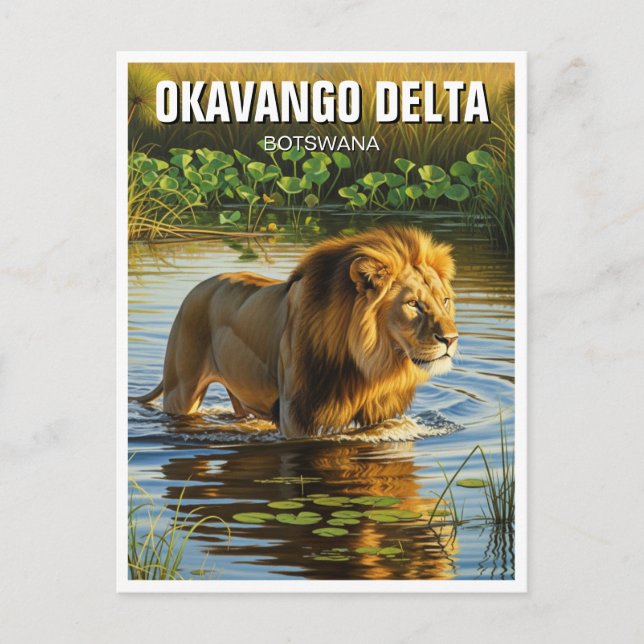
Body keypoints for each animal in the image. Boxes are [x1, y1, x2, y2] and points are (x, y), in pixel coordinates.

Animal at [129, 226, 458, 438]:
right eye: (413, 304)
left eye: (445, 301)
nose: (451, 339)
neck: (368, 367)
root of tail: (199, 286)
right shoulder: (297, 416)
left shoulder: (380, 415)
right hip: (181, 392)